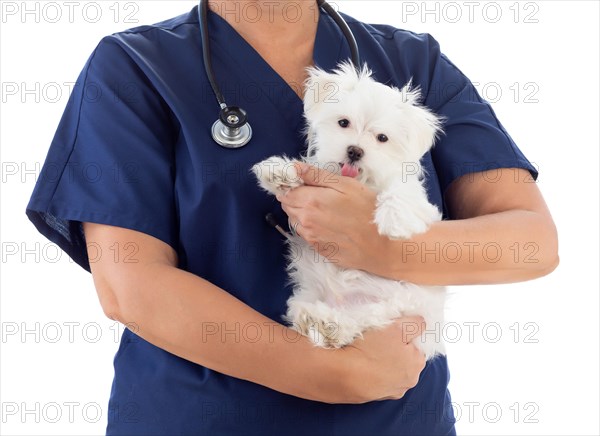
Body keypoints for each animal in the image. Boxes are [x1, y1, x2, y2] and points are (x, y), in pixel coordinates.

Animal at [252, 62, 446, 362]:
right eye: (343, 123)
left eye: (382, 138)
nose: (355, 150)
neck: (361, 182)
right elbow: (304, 173)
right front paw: (279, 172)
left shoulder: (417, 202)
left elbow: (401, 192)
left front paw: (394, 220)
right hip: (312, 288)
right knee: (305, 308)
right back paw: (313, 320)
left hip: (399, 305)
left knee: (364, 320)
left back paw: (331, 325)